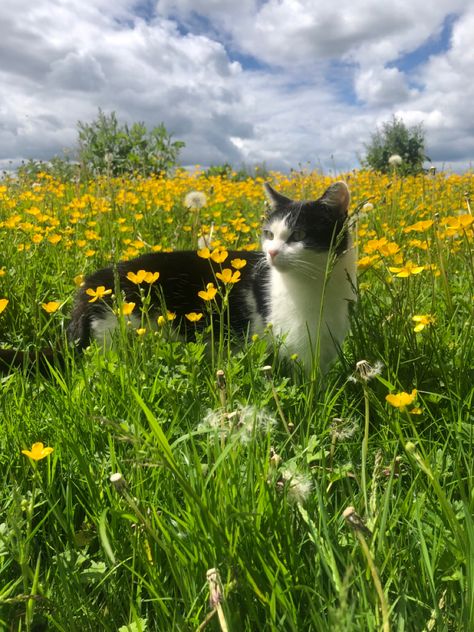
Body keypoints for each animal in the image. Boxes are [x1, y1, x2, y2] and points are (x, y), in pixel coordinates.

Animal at [0, 179, 356, 376]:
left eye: (298, 235)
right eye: (269, 234)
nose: (271, 253)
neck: (316, 289)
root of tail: (88, 287)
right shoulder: (295, 350)